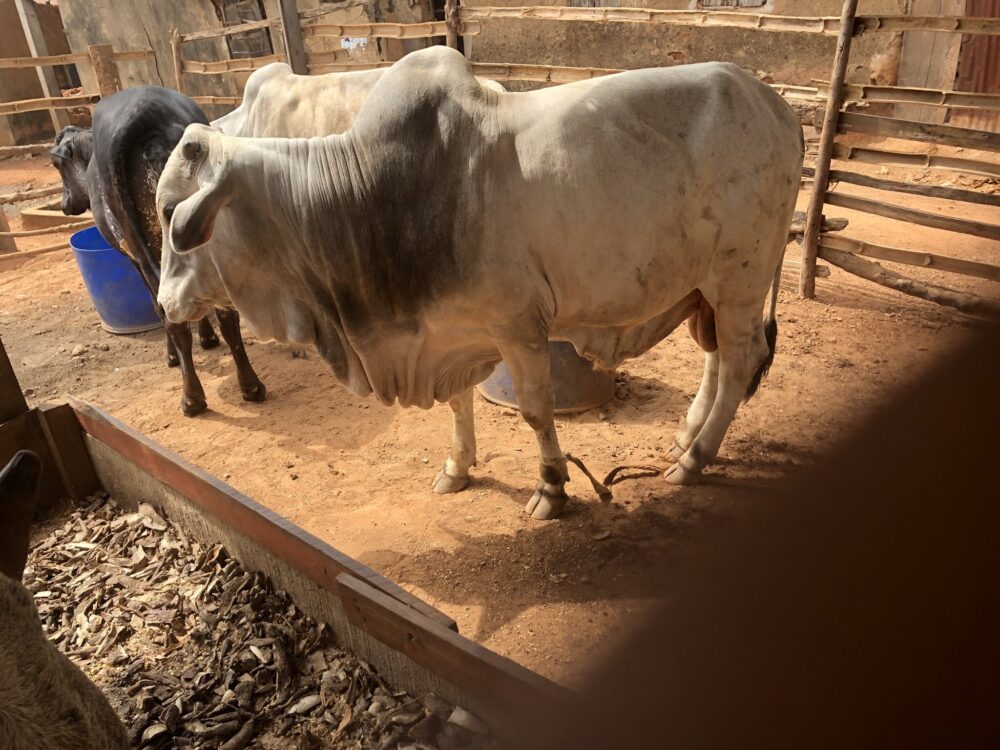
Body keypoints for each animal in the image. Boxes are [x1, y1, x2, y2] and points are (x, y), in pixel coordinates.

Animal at [50, 87, 265, 416]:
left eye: (57, 165)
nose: (65, 205)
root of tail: (147, 114)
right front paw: (208, 337)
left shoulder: (135, 260)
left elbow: (159, 305)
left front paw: (175, 355)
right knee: (225, 312)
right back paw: (250, 385)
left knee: (171, 316)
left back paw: (192, 398)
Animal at [155, 47, 803, 519]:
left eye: (167, 213)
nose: (163, 303)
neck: (367, 197)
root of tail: (776, 104)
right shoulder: (449, 323)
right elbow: (458, 400)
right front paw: (458, 467)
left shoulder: (517, 326)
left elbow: (537, 413)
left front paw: (552, 490)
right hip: (709, 289)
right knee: (718, 360)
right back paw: (686, 436)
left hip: (740, 277)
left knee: (740, 363)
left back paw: (694, 459)